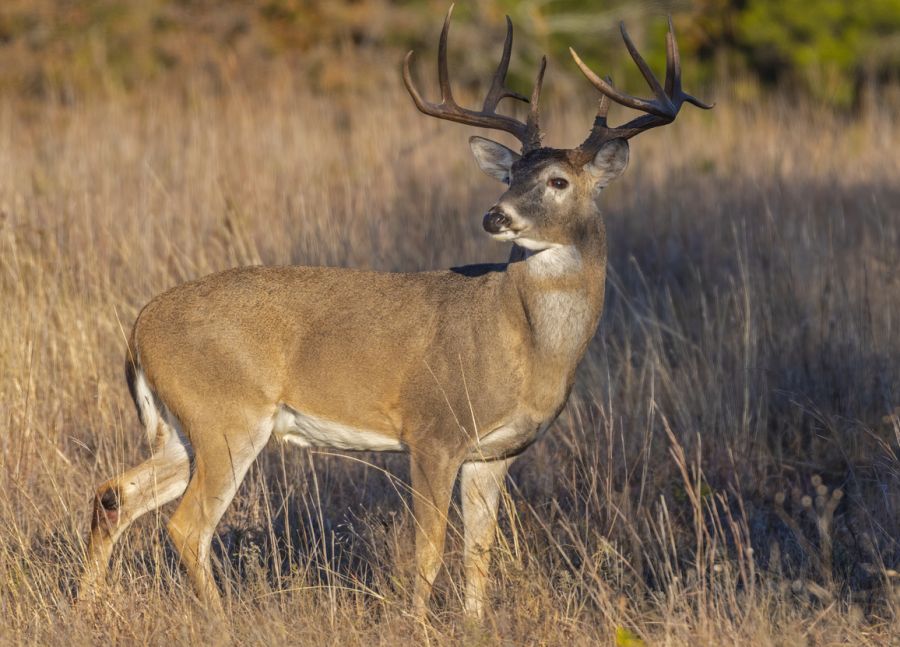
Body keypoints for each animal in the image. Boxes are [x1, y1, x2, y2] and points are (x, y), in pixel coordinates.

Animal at [79, 6, 712, 624]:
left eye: (558, 180)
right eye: (512, 176)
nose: (496, 216)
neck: (523, 343)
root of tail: (138, 329)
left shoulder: (494, 454)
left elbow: (479, 549)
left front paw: (473, 625)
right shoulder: (434, 430)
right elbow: (428, 548)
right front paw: (418, 625)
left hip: (180, 427)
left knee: (114, 493)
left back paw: (91, 605)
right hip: (226, 415)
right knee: (187, 525)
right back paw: (221, 619)